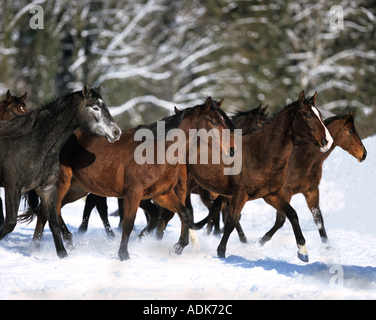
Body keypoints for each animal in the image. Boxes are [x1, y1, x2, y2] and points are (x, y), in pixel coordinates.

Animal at [0, 84, 120, 258]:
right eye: (96, 107)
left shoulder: (47, 189)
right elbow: (10, 223)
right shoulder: (12, 187)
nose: (116, 132)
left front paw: (63, 255)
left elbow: (53, 223)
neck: (32, 145)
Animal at [24, 97, 235, 260]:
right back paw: (57, 245)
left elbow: (184, 213)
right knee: (50, 210)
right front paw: (124, 255)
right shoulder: (134, 193)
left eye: (226, 121)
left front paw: (178, 247)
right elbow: (129, 222)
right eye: (214, 122)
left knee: (47, 211)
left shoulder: (161, 194)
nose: (232, 150)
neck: (158, 150)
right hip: (61, 185)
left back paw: (41, 246)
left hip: (76, 188)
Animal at [187, 91, 332, 262]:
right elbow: (231, 221)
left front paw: (302, 251)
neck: (260, 154)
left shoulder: (272, 195)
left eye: (320, 115)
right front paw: (221, 252)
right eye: (308, 115)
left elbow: (292, 215)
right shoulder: (239, 195)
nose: (326, 141)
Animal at [258, 111, 368, 246]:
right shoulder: (284, 192)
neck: (303, 159)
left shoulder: (311, 191)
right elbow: (281, 220)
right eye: (350, 131)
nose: (364, 154)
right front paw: (260, 241)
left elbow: (319, 221)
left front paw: (327, 247)